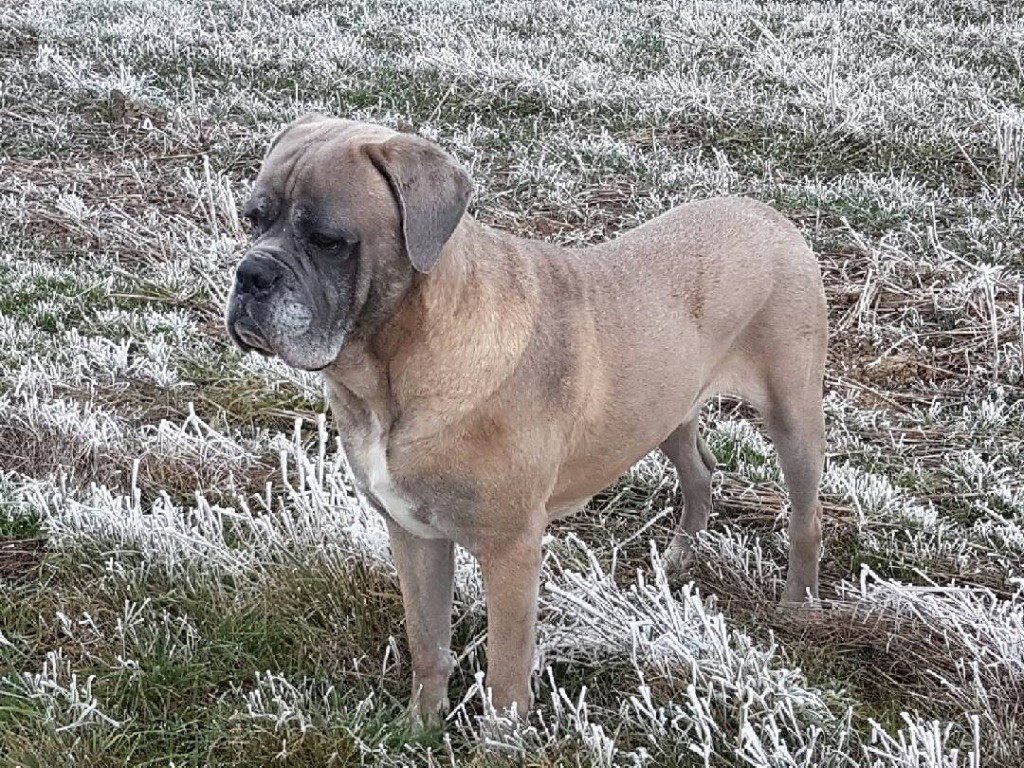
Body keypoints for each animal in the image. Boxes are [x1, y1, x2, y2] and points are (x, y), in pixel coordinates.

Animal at [225, 115, 828, 724]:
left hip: (793, 417)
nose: (251, 274)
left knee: (806, 515)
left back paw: (797, 604)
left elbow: (506, 674)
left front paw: (501, 737)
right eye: (252, 218)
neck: (389, 372)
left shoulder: (511, 550)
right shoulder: (413, 534)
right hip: (666, 411)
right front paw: (422, 724)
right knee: (699, 470)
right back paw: (682, 555)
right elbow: (427, 641)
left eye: (329, 241)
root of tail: (772, 215)